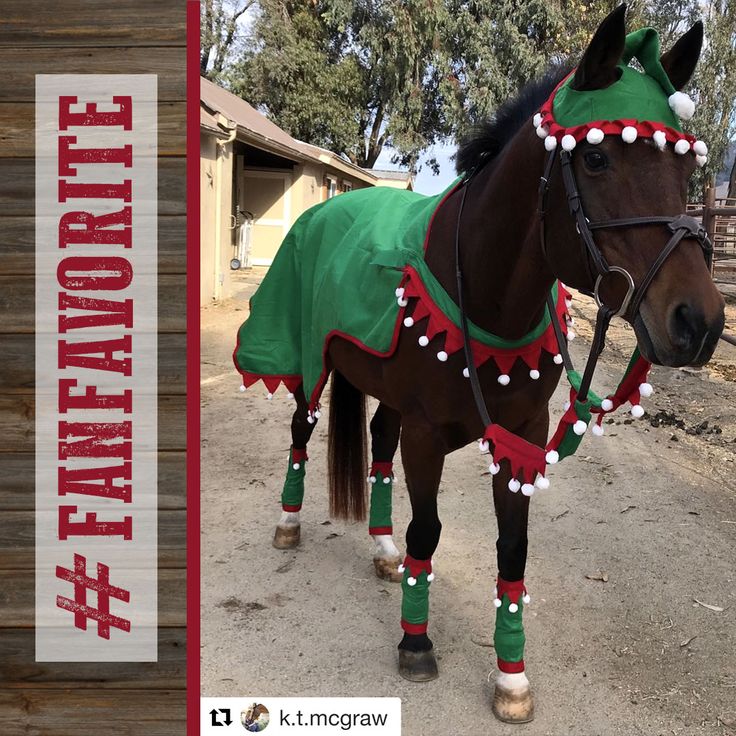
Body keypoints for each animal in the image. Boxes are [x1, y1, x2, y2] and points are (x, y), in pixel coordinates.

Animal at [266, 2, 724, 720]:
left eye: (684, 173)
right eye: (597, 157)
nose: (699, 323)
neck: (483, 291)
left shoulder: (523, 435)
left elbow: (513, 549)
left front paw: (512, 676)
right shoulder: (428, 435)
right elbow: (429, 532)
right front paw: (416, 643)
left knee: (376, 445)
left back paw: (381, 548)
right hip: (312, 366)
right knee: (301, 433)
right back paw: (288, 525)